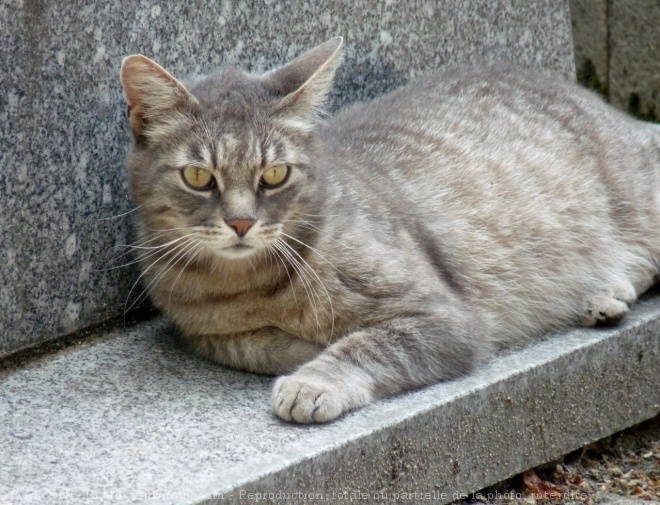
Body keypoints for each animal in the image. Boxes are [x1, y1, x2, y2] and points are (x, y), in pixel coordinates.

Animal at [118, 37, 660, 422]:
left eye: (274, 175)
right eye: (198, 177)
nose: (241, 222)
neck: (250, 287)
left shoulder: (445, 317)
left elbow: (365, 345)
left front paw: (312, 379)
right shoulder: (201, 333)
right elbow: (252, 343)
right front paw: (299, 349)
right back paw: (604, 293)